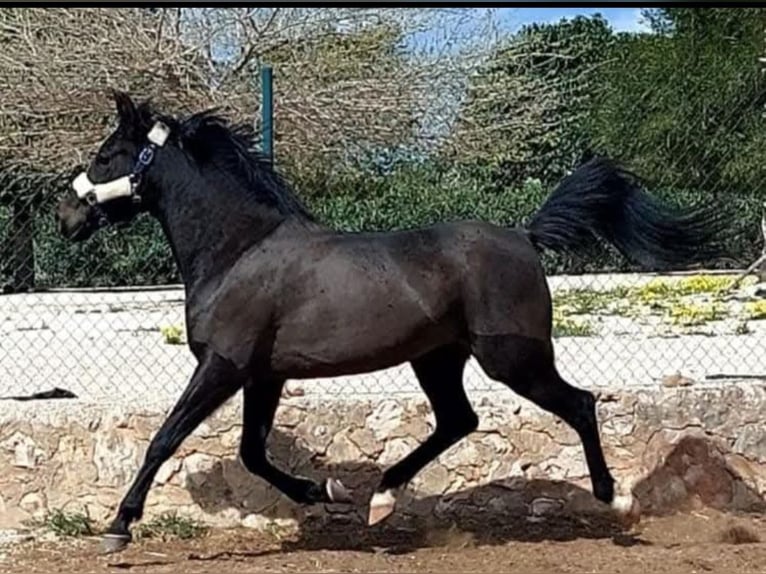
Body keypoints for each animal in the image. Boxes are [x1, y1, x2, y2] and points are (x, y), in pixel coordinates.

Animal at [56, 91, 729, 554]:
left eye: (106, 154)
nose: (66, 217)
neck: (239, 250)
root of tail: (524, 235)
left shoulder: (223, 366)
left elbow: (165, 438)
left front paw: (118, 527)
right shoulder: (264, 375)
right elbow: (251, 452)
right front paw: (323, 493)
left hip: (512, 356)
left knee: (579, 404)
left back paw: (615, 499)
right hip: (437, 358)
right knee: (459, 420)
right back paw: (381, 496)